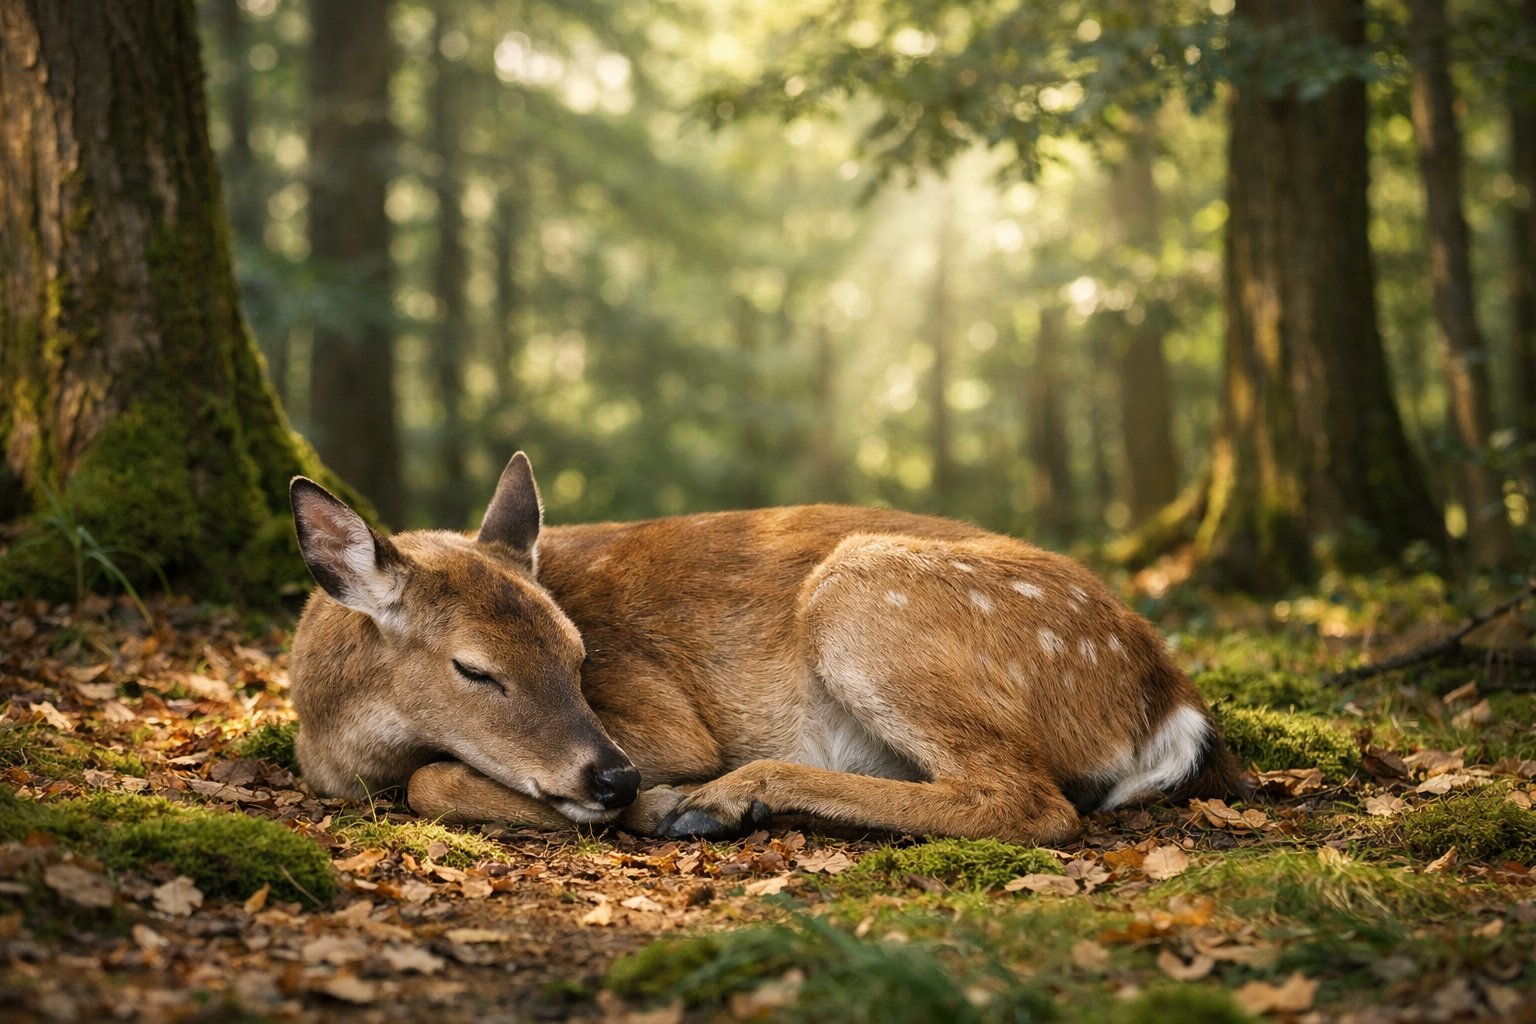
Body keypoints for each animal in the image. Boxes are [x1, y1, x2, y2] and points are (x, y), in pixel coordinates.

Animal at [287, 452, 1241, 843]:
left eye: (579, 653)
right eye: (474, 668)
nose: (614, 777)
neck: (332, 739)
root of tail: (1169, 694)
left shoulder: (662, 721)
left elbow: (430, 778)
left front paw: (663, 803)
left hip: (865, 593)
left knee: (1029, 801)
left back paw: (726, 799)